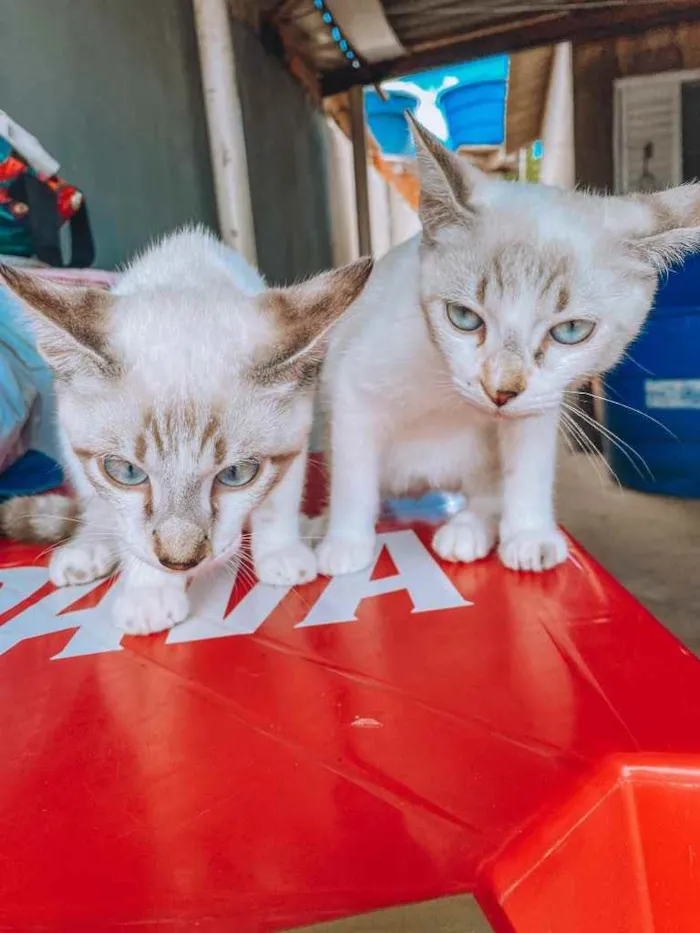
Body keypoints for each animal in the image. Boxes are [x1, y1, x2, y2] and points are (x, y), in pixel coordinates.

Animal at [0, 227, 372, 632]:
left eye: (236, 474)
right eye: (126, 472)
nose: (180, 562)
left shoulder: (295, 438)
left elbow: (276, 502)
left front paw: (281, 553)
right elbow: (128, 531)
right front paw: (150, 595)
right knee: (93, 507)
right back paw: (86, 549)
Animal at [318, 118, 700, 576]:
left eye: (571, 330)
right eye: (464, 318)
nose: (501, 390)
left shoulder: (541, 402)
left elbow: (528, 467)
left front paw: (530, 534)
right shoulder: (352, 381)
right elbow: (352, 472)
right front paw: (344, 542)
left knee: (485, 489)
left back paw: (468, 529)